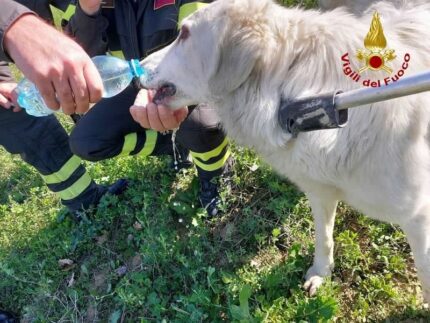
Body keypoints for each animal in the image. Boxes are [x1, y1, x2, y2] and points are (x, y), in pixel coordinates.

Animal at [140, 0, 430, 302]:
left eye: (184, 33)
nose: (138, 67)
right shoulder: (319, 191)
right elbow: (323, 237)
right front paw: (321, 273)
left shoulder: (418, 216)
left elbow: (424, 271)